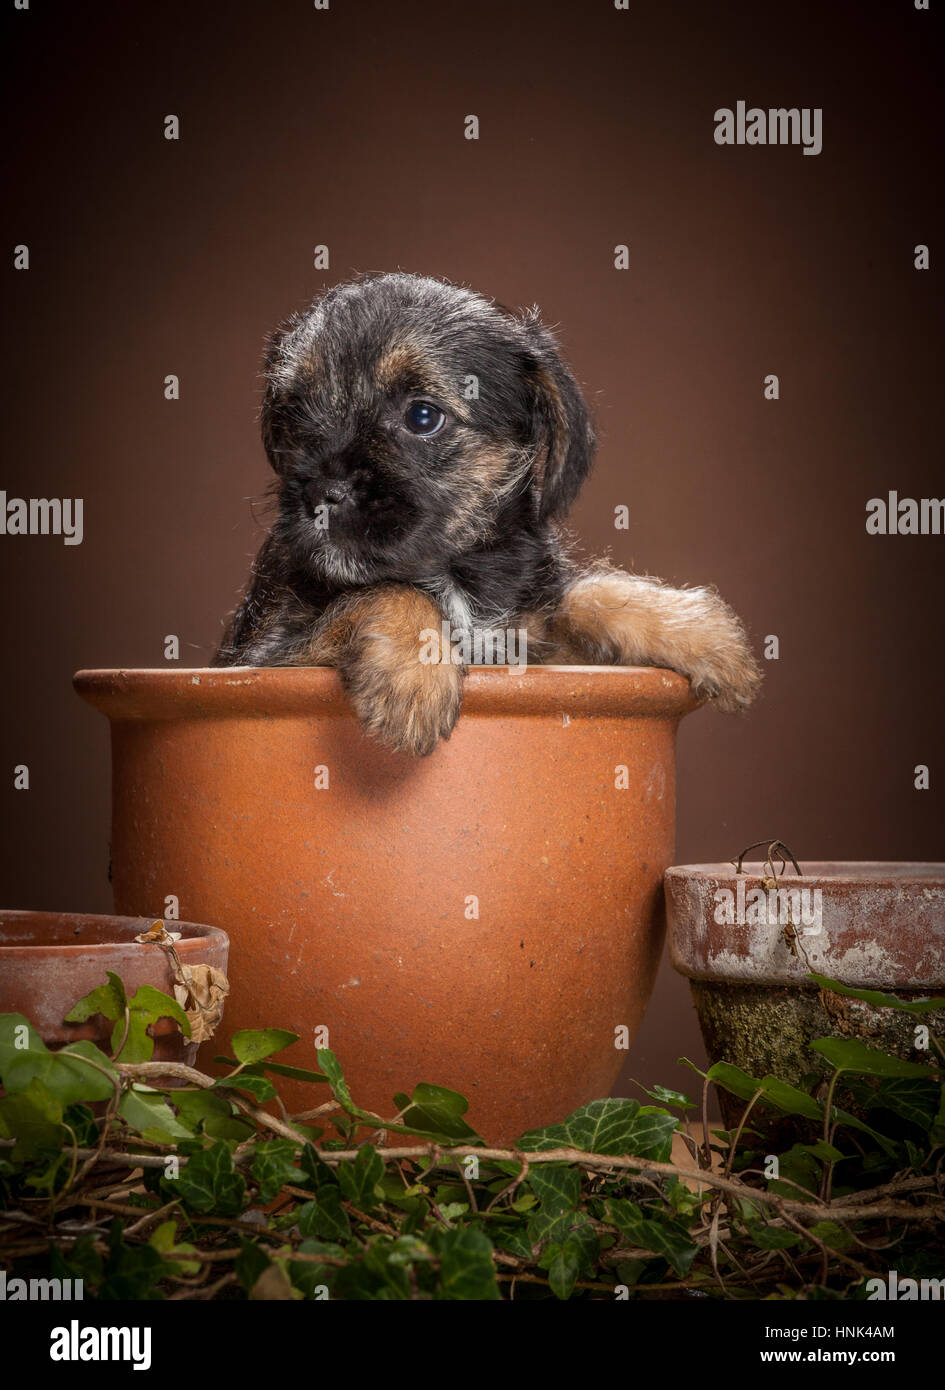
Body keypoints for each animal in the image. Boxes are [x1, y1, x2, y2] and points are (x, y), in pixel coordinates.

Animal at [214, 271, 761, 750]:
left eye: (422, 416)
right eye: (293, 414)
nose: (322, 491)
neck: (454, 573)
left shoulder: (534, 651)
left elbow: (580, 595)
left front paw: (700, 633)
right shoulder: (264, 657)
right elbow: (385, 590)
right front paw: (415, 676)